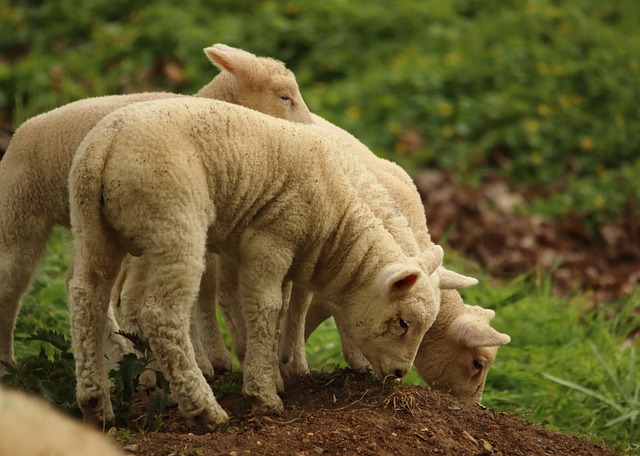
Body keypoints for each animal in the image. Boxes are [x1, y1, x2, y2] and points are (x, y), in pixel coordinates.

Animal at [0, 43, 310, 378]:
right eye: (284, 96)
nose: (310, 132)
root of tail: (21, 130)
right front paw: (204, 361)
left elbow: (205, 288)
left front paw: (215, 357)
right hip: (19, 212)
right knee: (11, 284)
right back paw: (8, 365)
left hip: (87, 227)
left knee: (77, 284)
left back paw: (117, 353)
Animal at [63, 97, 444, 432]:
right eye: (402, 322)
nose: (400, 373)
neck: (334, 222)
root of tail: (104, 145)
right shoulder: (271, 240)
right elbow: (266, 308)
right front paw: (264, 394)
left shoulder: (264, 252)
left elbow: (278, 313)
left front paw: (271, 374)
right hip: (172, 221)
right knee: (161, 315)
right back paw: (204, 408)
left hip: (92, 225)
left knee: (85, 297)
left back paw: (96, 404)